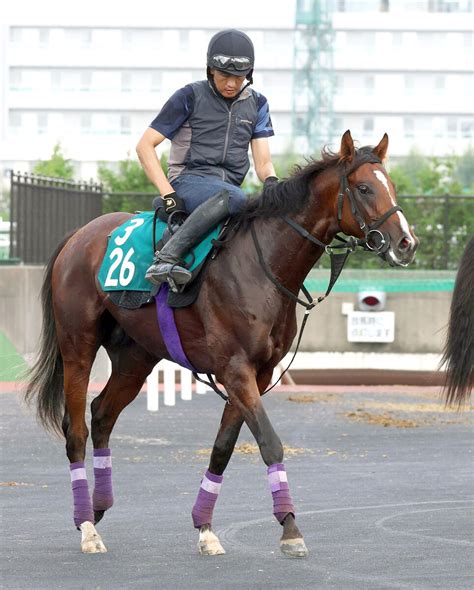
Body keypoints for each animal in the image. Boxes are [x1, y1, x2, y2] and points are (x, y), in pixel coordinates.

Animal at [25, 131, 418, 560]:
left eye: (391, 184)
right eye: (364, 188)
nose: (406, 242)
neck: (262, 265)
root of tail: (79, 236)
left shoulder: (256, 373)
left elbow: (223, 447)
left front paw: (205, 528)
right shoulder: (235, 369)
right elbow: (269, 443)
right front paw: (290, 528)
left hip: (135, 357)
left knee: (102, 415)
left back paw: (96, 509)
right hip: (78, 346)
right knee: (76, 428)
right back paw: (87, 527)